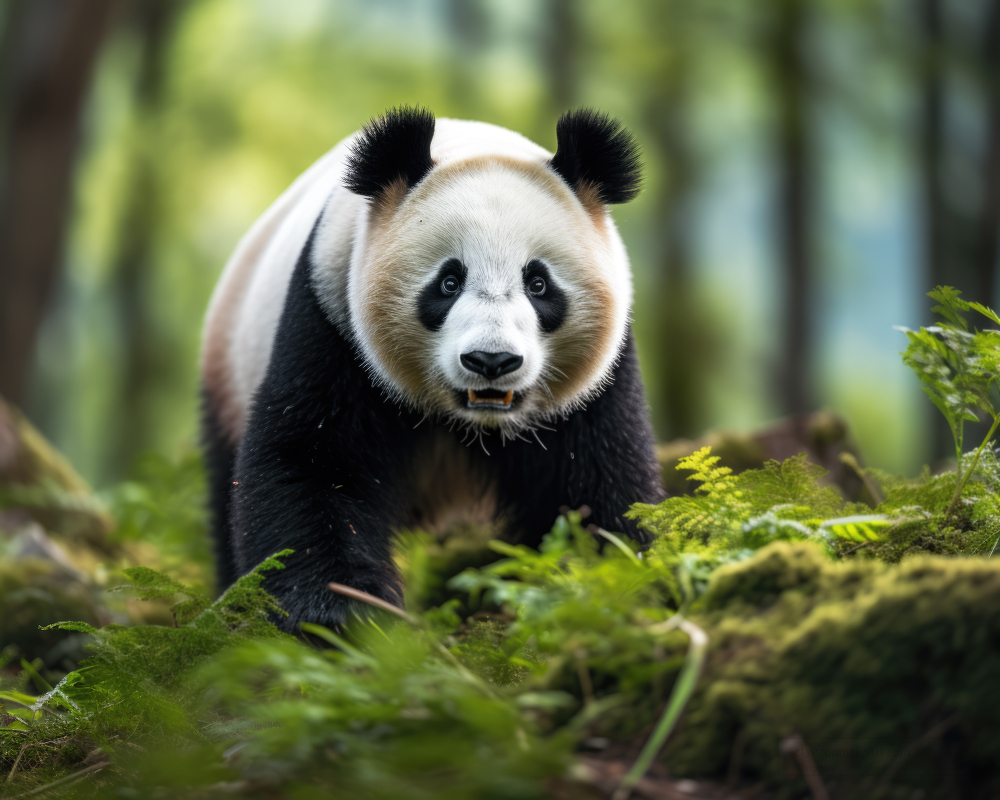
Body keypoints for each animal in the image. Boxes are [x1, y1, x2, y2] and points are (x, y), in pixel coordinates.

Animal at [200, 108, 668, 632]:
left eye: (538, 283)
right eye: (448, 281)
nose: (491, 361)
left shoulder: (597, 379)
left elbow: (597, 480)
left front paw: (612, 582)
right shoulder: (331, 315)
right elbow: (311, 460)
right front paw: (339, 613)